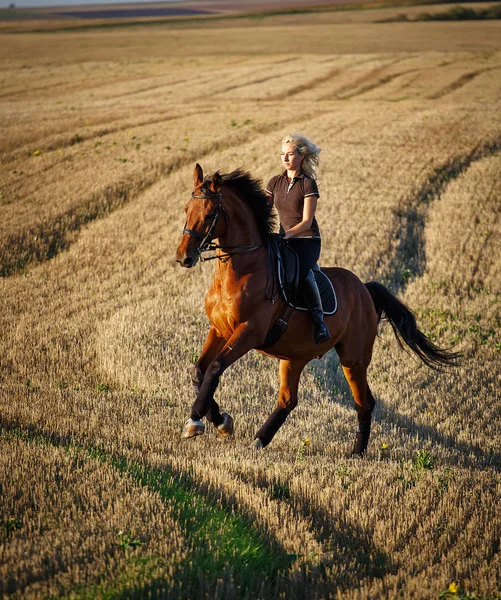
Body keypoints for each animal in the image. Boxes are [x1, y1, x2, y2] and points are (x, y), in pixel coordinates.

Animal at [174, 164, 458, 454]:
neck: (242, 268)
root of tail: (364, 289)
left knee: (363, 402)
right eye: (186, 209)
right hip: (294, 357)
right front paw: (220, 421)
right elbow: (200, 371)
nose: (184, 257)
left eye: (209, 214)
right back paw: (259, 440)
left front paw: (197, 422)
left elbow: (215, 368)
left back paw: (356, 452)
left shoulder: (249, 331)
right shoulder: (219, 330)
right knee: (289, 400)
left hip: (353, 358)